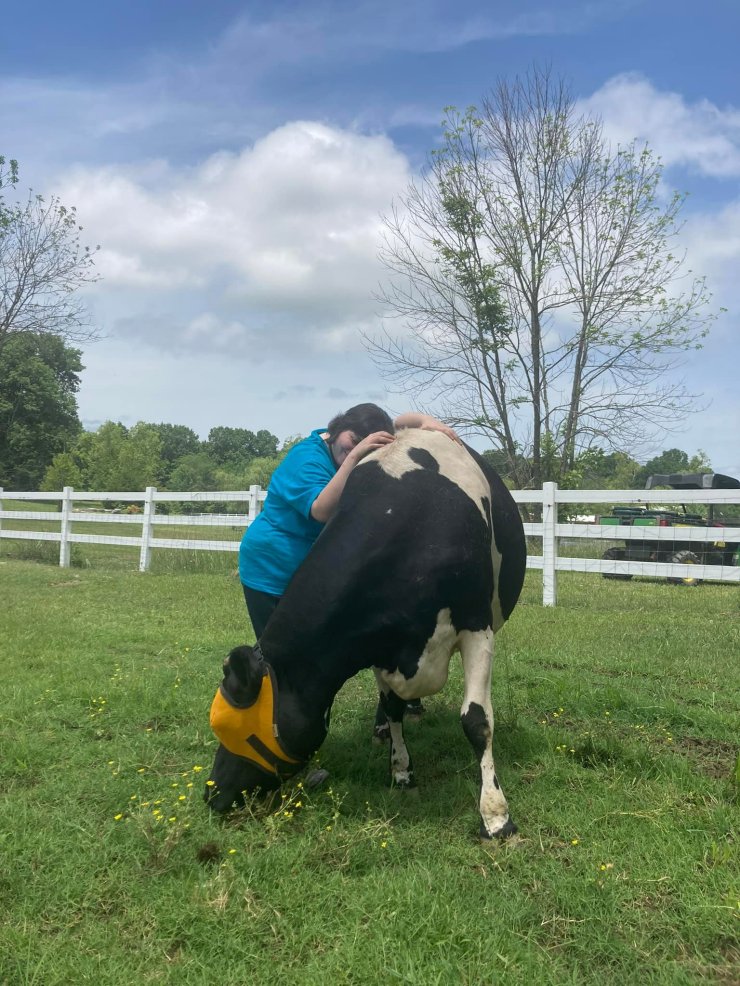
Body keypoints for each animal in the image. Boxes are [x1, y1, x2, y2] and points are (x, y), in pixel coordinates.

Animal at [205, 428, 526, 839]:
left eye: (235, 729)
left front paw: (496, 816)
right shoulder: (377, 642)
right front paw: (401, 771)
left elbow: (476, 720)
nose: (211, 794)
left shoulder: (477, 627)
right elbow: (392, 709)